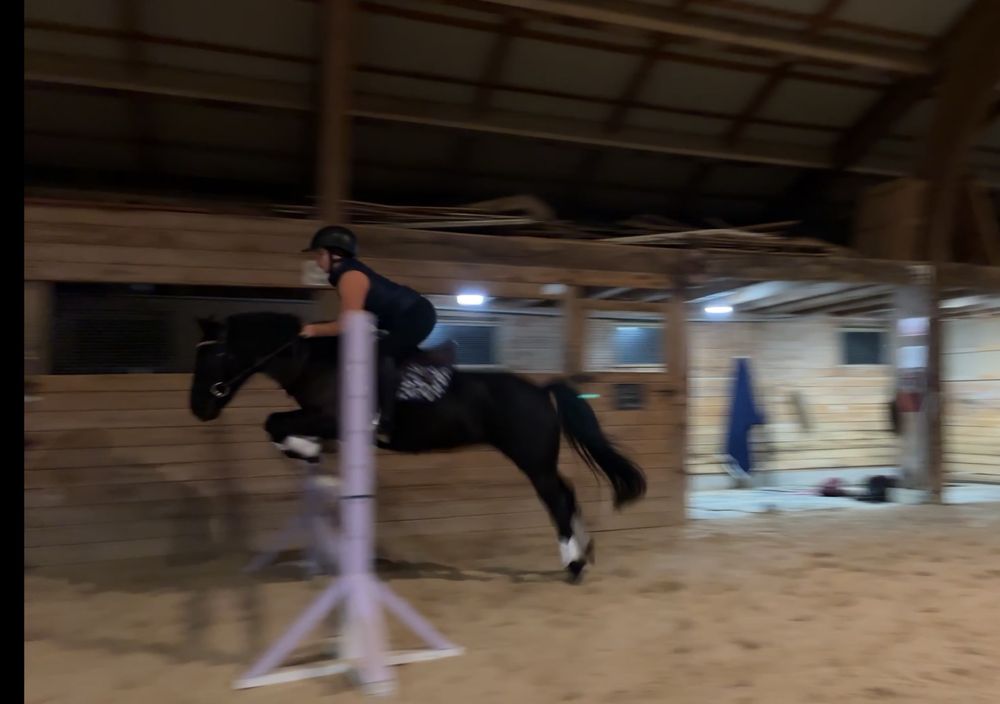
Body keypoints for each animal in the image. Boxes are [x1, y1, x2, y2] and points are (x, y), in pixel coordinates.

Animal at [188, 311, 647, 581]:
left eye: (219, 355)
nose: (198, 409)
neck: (316, 361)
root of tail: (540, 390)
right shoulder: (321, 420)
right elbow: (277, 424)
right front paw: (304, 449)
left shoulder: (332, 419)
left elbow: (274, 422)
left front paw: (301, 448)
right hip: (538, 460)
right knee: (566, 494)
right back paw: (584, 553)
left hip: (532, 461)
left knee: (557, 499)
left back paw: (573, 563)